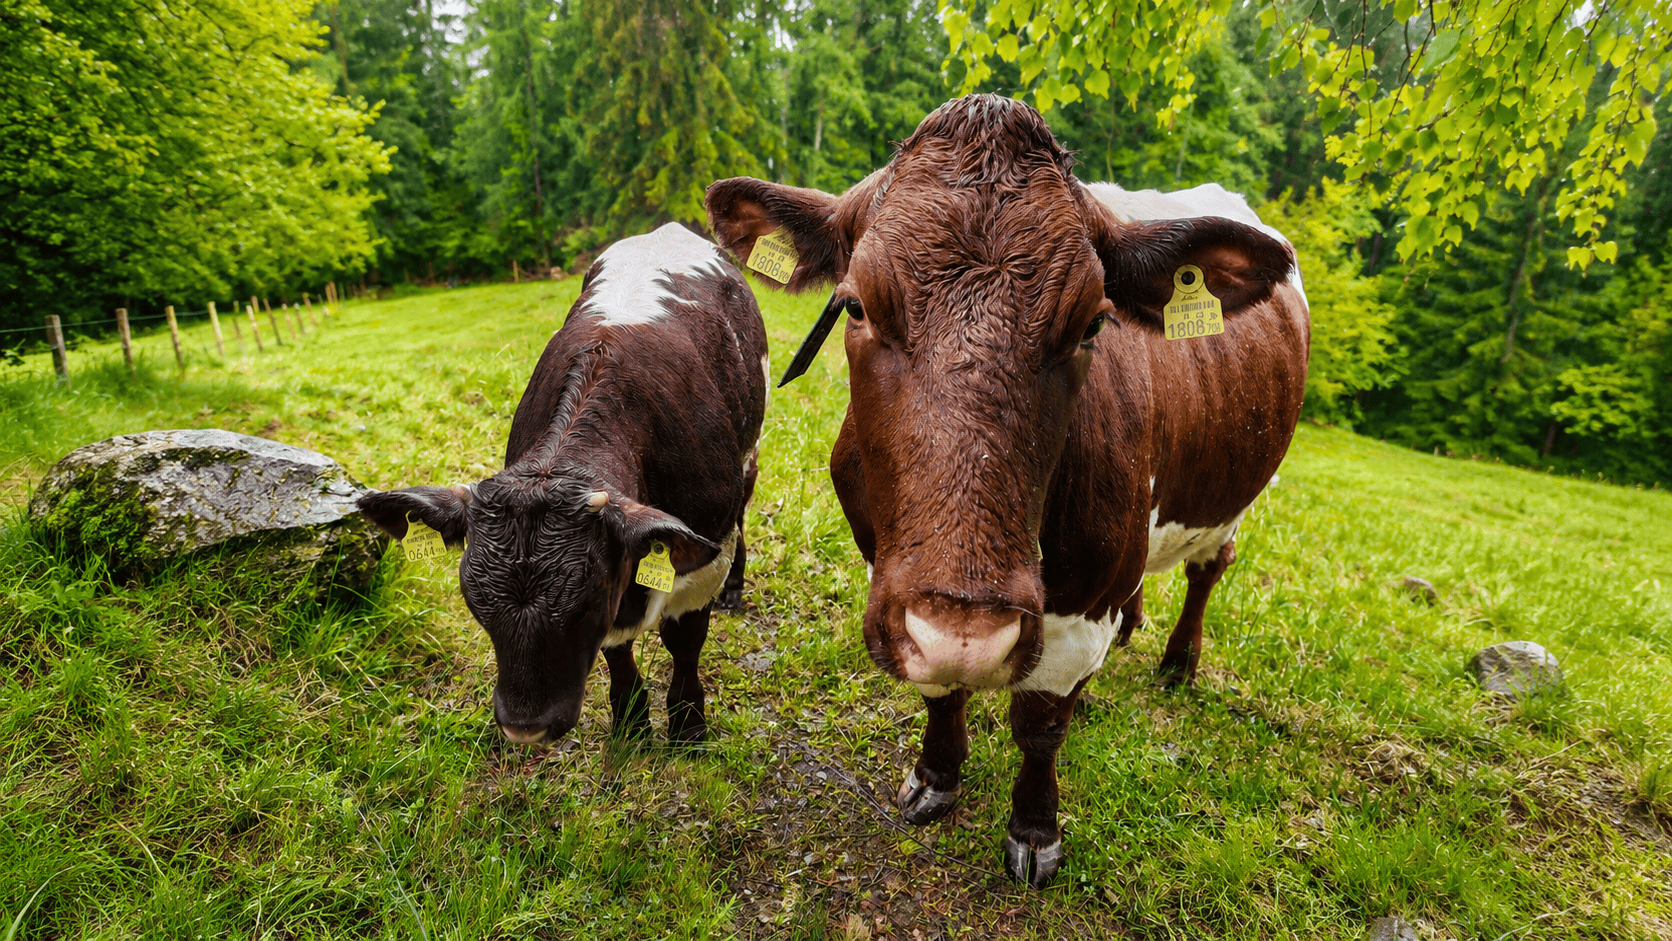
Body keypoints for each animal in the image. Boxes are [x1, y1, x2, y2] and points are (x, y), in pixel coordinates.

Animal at [357, 223, 768, 746]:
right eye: (475, 603)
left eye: (584, 605)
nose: (524, 728)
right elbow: (617, 649)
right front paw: (630, 719)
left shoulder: (705, 551)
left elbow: (685, 641)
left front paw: (688, 725)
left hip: (750, 453)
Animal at [705, 95, 1308, 887]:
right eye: (856, 307)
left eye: (1093, 322)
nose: (970, 628)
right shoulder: (891, 573)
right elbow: (939, 687)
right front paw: (936, 774)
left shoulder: (1080, 602)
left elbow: (1041, 723)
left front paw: (1035, 826)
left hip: (1235, 500)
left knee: (1209, 568)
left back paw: (1179, 660)